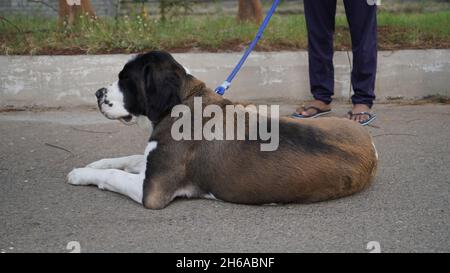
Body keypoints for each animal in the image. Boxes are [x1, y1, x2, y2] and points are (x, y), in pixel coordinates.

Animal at [66, 50, 376, 208]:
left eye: (125, 80)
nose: (97, 93)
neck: (181, 101)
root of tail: (372, 150)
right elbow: (127, 159)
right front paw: (95, 163)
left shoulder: (152, 191)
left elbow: (113, 176)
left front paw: (81, 174)